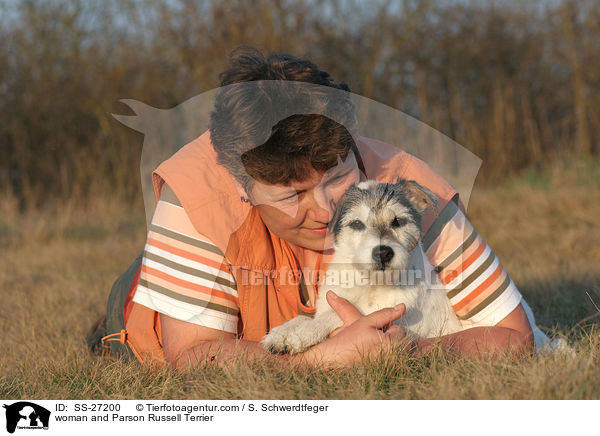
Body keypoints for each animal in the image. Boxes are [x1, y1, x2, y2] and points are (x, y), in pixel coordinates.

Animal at [262, 179, 464, 352]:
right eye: (357, 223)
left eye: (398, 221)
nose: (383, 253)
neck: (368, 282)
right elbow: (304, 316)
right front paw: (281, 333)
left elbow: (334, 315)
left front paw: (302, 333)